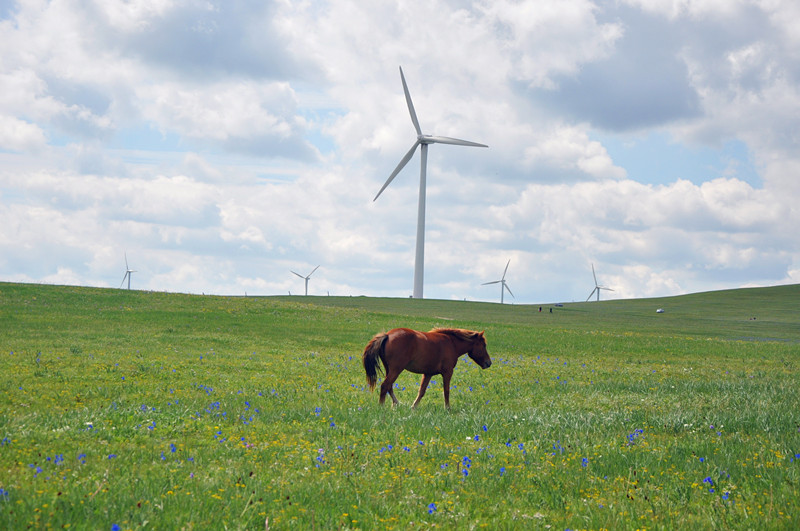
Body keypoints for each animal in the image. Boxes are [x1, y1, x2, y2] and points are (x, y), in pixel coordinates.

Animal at [360, 328, 488, 412]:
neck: (451, 343)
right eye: (484, 345)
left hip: (389, 369)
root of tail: (387, 335)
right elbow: (446, 391)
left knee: (389, 387)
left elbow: (421, 391)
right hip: (396, 369)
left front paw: (413, 407)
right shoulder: (447, 372)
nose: (489, 363)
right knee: (385, 386)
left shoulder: (428, 374)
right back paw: (382, 407)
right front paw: (447, 409)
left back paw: (396, 403)